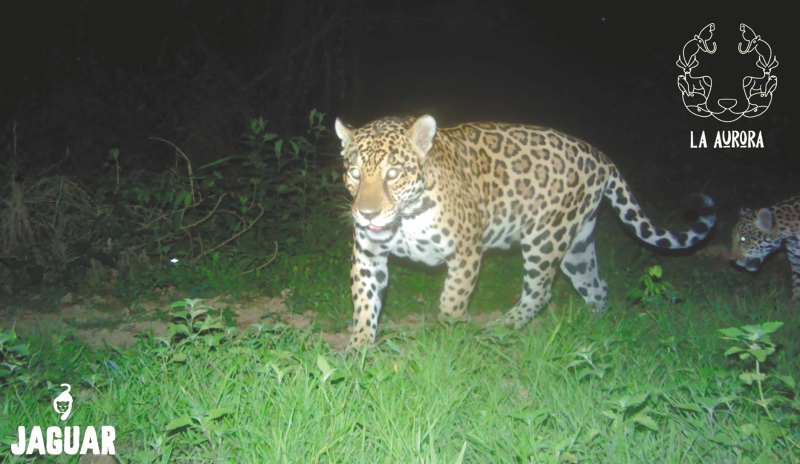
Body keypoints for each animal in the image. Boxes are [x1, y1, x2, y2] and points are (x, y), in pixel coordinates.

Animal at [335, 115, 716, 350]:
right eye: (354, 172)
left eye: (394, 173)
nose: (366, 214)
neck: (406, 218)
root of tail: (600, 156)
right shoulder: (368, 255)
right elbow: (364, 304)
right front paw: (358, 352)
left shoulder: (467, 250)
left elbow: (451, 301)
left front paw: (451, 337)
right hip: (577, 245)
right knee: (597, 285)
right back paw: (596, 327)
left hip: (546, 237)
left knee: (540, 293)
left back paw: (500, 328)